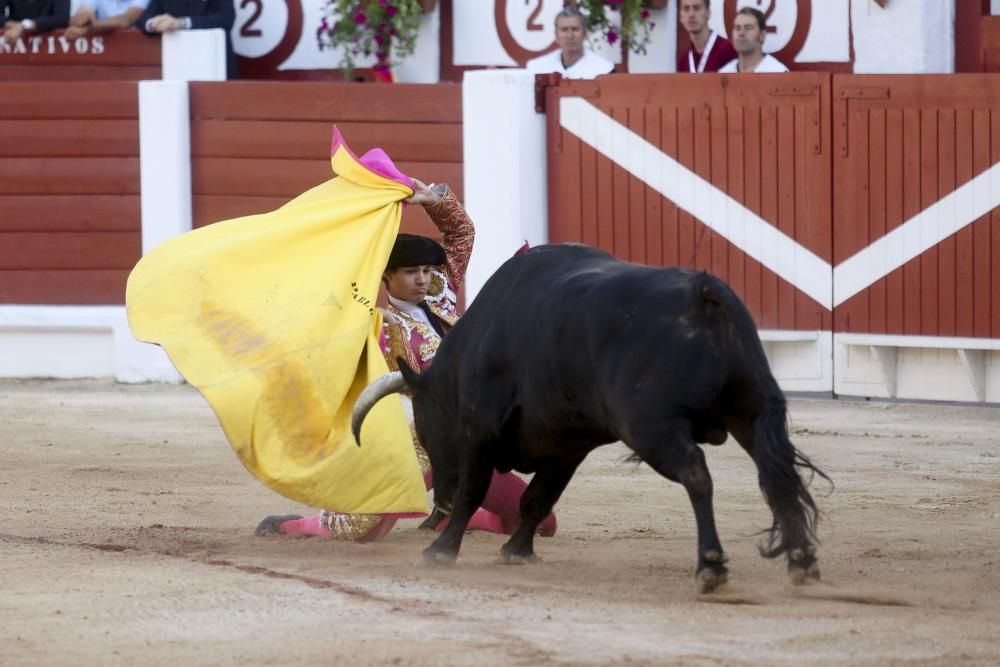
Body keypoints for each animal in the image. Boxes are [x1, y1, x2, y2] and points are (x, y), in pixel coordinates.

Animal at [354, 245, 828, 596]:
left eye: (425, 419)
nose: (442, 501)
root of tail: (704, 292)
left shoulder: (480, 428)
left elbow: (478, 490)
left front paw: (441, 550)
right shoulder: (569, 444)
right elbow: (539, 499)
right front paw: (516, 550)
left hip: (652, 427)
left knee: (698, 474)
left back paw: (711, 565)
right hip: (757, 413)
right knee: (777, 474)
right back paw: (801, 560)